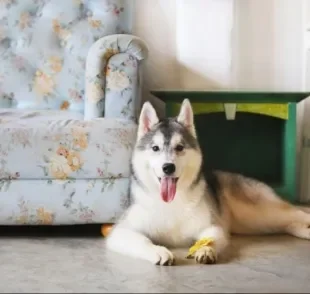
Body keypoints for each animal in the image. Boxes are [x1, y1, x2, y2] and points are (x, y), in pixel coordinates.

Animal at [105, 99, 310, 266]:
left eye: (180, 147)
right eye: (155, 148)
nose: (168, 167)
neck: (171, 203)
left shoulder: (213, 226)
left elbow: (211, 238)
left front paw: (205, 249)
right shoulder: (121, 231)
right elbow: (141, 240)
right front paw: (158, 251)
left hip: (261, 212)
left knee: (298, 214)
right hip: (256, 224)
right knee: (289, 224)